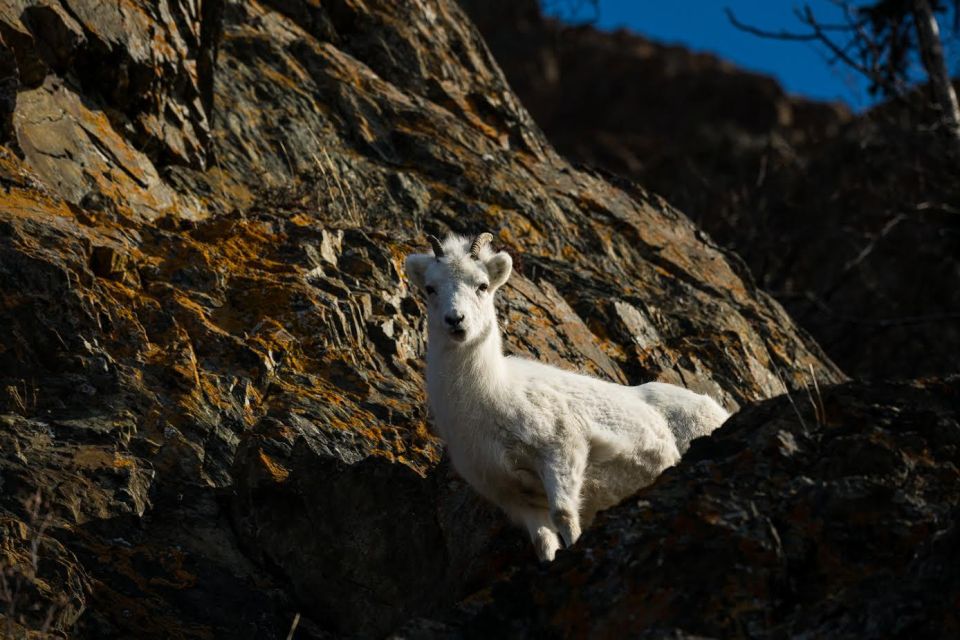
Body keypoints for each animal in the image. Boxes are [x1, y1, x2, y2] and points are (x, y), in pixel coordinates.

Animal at [404, 231, 728, 560]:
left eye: (482, 285)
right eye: (431, 288)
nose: (456, 320)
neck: (489, 397)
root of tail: (717, 409)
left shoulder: (562, 450)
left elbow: (565, 516)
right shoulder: (516, 497)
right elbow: (544, 543)